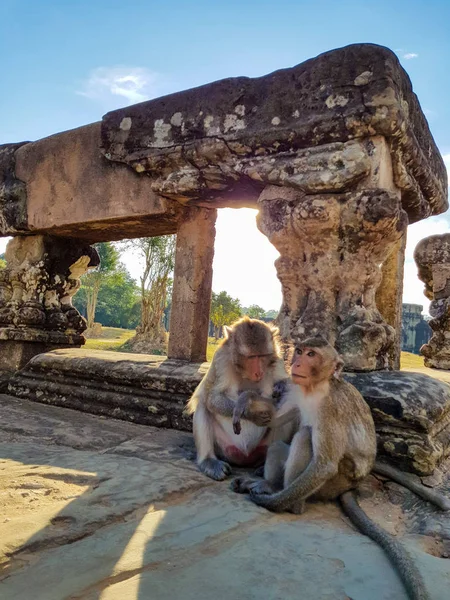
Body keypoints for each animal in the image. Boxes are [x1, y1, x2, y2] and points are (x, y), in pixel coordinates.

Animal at [185, 316, 298, 480]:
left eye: (262, 356)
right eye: (251, 357)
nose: (258, 372)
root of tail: (246, 457)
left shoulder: (277, 360)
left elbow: (291, 388)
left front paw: (280, 387)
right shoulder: (221, 359)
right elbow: (213, 398)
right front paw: (251, 414)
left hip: (262, 447)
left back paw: (265, 466)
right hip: (225, 448)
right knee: (203, 406)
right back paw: (209, 461)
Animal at [232, 338, 450, 600]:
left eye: (311, 354)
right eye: (299, 351)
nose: (296, 362)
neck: (315, 388)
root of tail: (353, 484)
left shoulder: (330, 408)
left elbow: (325, 465)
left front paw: (269, 503)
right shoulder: (296, 390)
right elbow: (273, 419)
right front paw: (245, 402)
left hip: (337, 480)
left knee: (305, 438)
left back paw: (290, 503)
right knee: (281, 443)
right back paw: (270, 485)